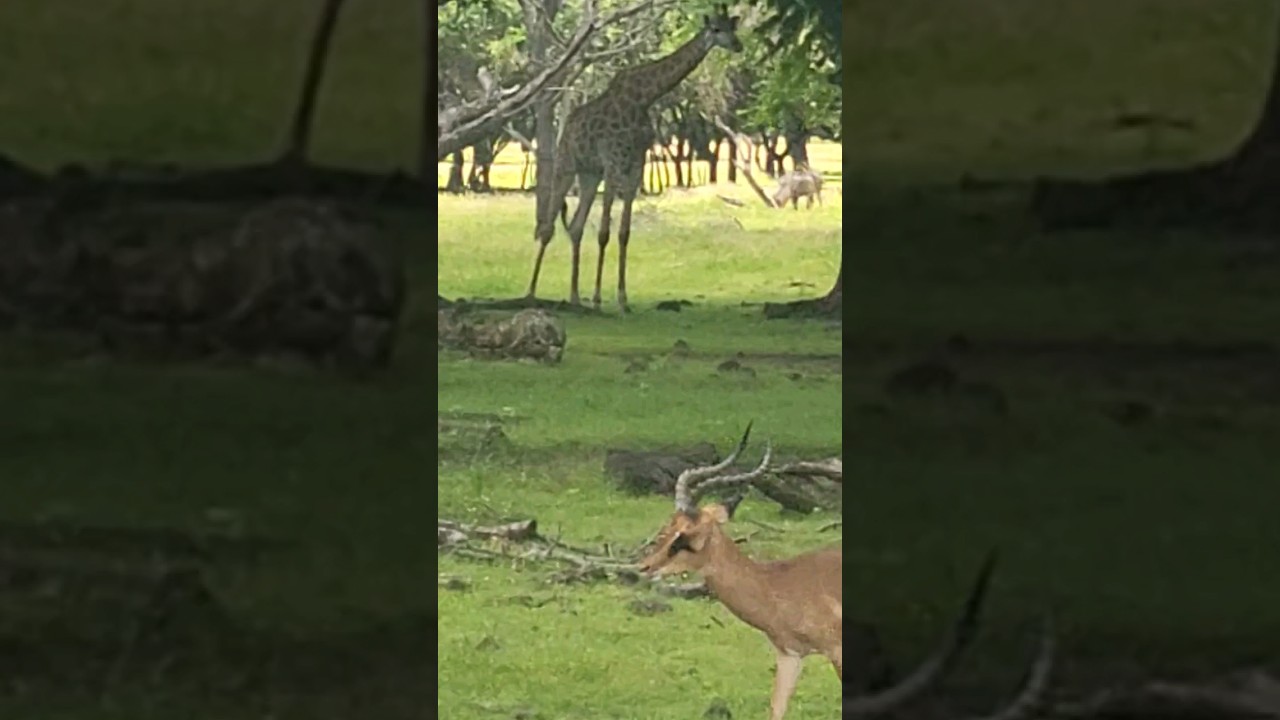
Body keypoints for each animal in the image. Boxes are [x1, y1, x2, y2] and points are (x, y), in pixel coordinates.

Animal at [526, 5, 743, 312]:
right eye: (716, 29)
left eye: (733, 28)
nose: (738, 45)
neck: (644, 98)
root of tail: (566, 127)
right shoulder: (613, 162)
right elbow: (604, 232)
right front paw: (598, 298)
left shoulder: (635, 164)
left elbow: (624, 233)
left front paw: (622, 299)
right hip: (566, 165)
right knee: (548, 227)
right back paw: (532, 292)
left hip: (589, 174)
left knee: (576, 226)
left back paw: (575, 296)